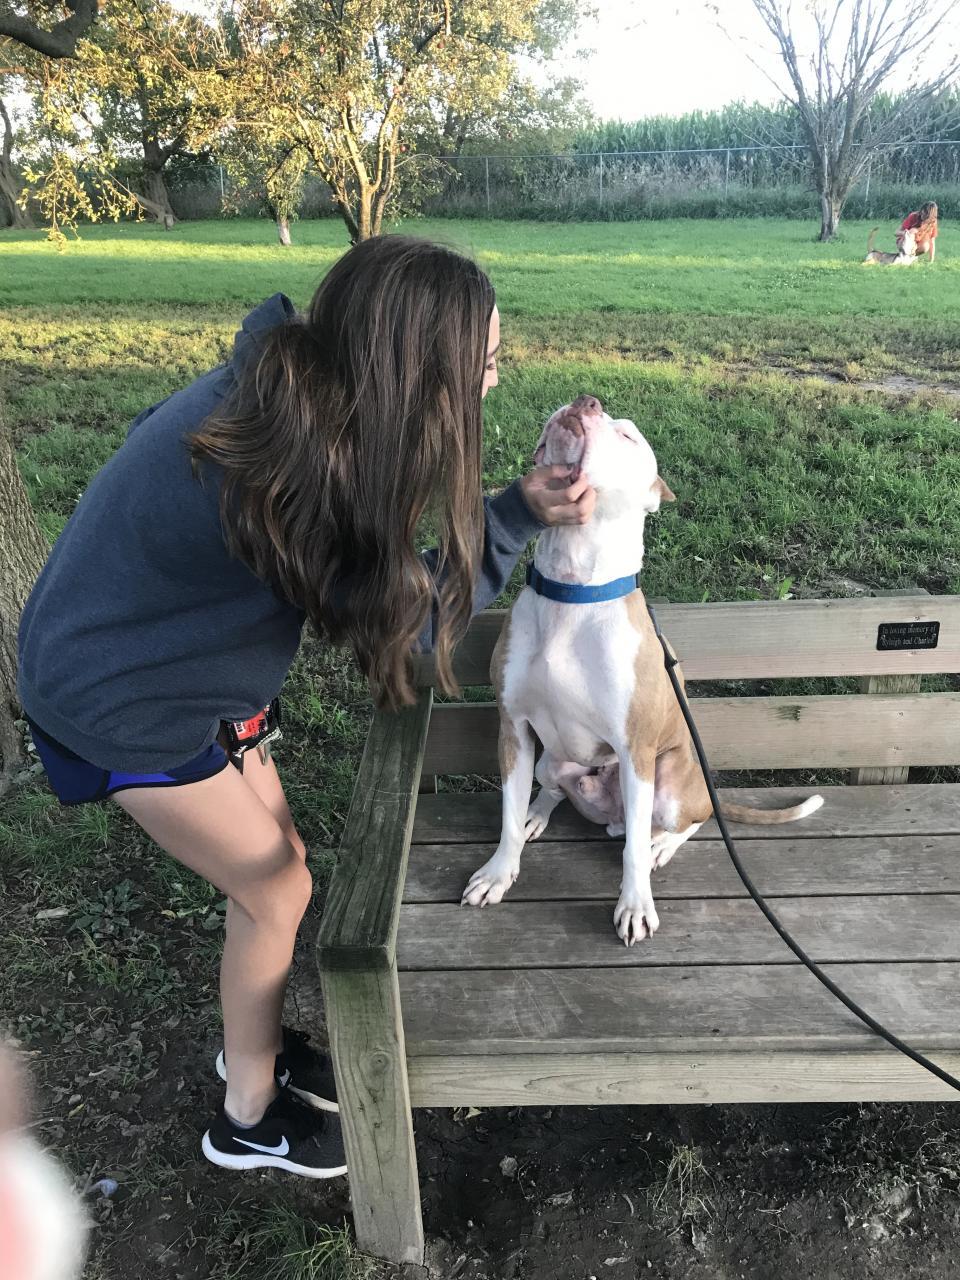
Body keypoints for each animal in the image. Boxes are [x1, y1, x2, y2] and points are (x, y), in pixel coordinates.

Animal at [462, 395, 824, 945]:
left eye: (629, 436)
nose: (586, 400)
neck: (573, 589)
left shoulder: (635, 750)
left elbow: (631, 848)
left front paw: (634, 905)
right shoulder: (514, 729)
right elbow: (506, 814)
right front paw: (499, 871)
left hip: (671, 784)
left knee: (685, 821)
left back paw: (661, 846)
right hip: (550, 760)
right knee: (550, 790)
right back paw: (536, 816)